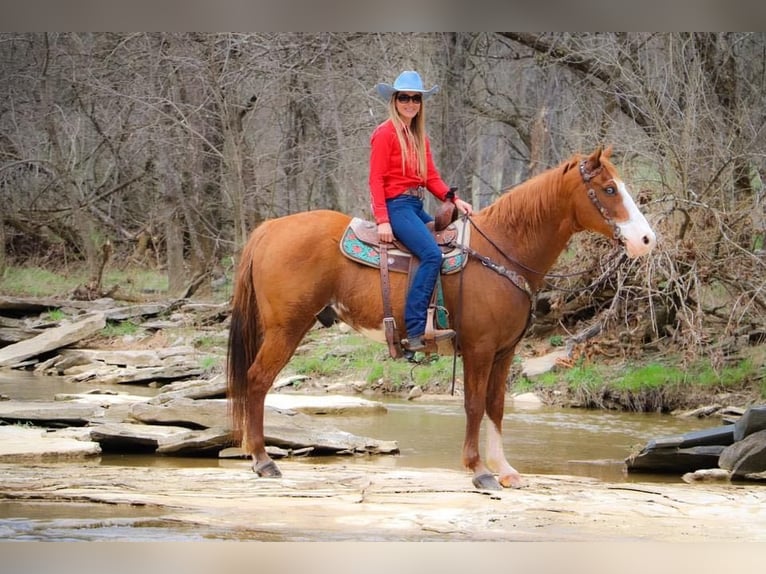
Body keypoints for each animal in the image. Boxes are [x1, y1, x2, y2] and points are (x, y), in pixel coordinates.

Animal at [228, 147, 660, 490]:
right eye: (609, 189)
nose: (646, 240)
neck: (502, 250)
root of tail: (270, 228)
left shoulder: (504, 352)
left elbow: (496, 405)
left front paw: (505, 469)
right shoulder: (479, 348)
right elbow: (473, 405)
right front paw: (479, 470)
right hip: (285, 329)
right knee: (258, 381)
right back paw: (263, 461)